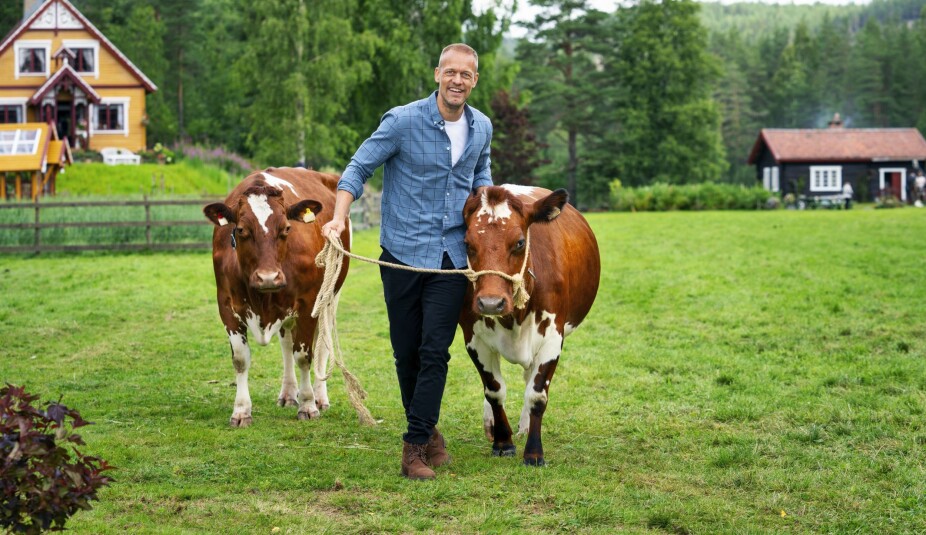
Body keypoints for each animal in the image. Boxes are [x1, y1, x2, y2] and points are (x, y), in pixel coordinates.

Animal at [204, 168, 352, 428]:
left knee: (322, 345)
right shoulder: (226, 306)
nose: (269, 278)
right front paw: (241, 411)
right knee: (286, 344)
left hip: (330, 299)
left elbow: (304, 356)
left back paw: (320, 397)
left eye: (286, 229)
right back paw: (288, 393)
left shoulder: (307, 305)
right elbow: (241, 359)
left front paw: (308, 405)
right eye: (240, 230)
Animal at [462, 186, 600, 466]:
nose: (490, 303)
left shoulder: (552, 336)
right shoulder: (474, 338)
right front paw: (502, 442)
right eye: (467, 244)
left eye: (519, 243)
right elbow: (494, 390)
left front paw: (534, 452)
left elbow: (537, 394)